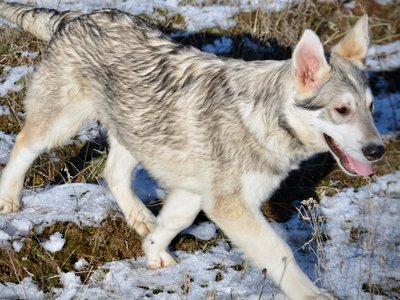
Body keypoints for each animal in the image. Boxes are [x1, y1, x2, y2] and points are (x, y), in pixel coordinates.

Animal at [0, 1, 384, 298]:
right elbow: (281, 254)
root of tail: (74, 17)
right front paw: (313, 295)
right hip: (62, 126)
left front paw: (153, 252)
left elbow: (176, 221)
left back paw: (142, 220)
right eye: (342, 110)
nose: (378, 151)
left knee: (113, 174)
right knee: (22, 146)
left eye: (371, 107)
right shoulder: (231, 206)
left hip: (137, 133)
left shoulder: (195, 192)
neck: (264, 117)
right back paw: (9, 199)